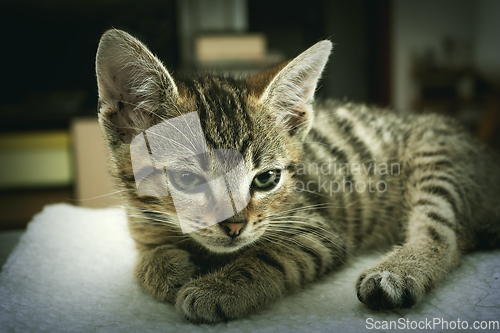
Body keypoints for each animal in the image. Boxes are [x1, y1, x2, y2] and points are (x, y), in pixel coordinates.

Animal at [95, 29, 500, 322]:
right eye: (186, 181)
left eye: (266, 179)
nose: (235, 226)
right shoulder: (141, 223)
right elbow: (148, 254)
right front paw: (167, 267)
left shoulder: (319, 231)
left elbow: (270, 255)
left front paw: (220, 288)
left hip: (436, 158)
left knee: (445, 235)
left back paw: (398, 273)